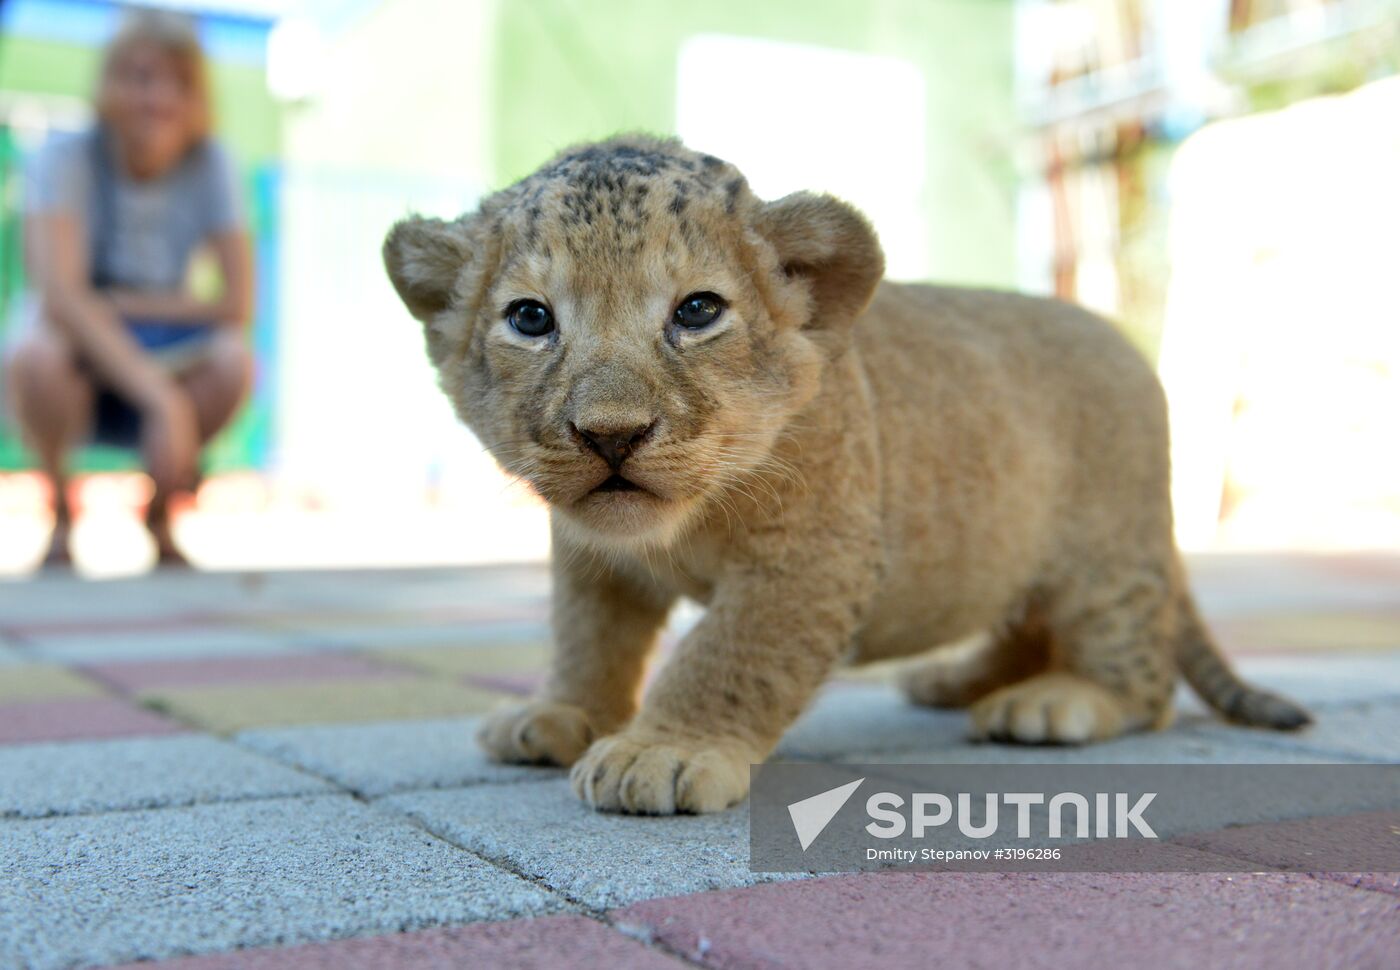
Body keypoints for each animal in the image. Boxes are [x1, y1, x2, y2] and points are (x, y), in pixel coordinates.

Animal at [383, 135, 1310, 815]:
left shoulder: (810, 556)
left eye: (697, 311)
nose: (612, 434)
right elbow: (586, 638)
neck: (682, 525)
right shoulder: (592, 561)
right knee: (1022, 620)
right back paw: (952, 681)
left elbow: (726, 653)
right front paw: (559, 712)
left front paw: (661, 751)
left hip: (1105, 560)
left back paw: (1056, 703)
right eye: (530, 319)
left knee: (1143, 676)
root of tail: (1121, 338)